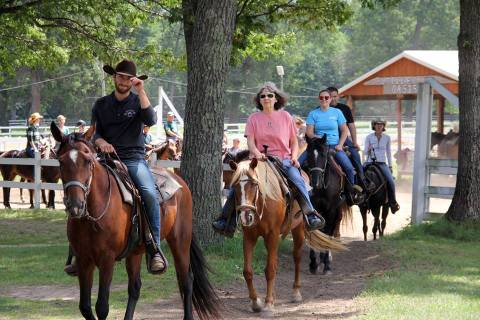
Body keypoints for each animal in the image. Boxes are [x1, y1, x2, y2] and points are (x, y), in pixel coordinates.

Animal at [50, 123, 219, 320]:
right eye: (61, 162)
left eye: (88, 161)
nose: (76, 205)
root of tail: (180, 182)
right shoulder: (84, 260)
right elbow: (85, 307)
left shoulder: (107, 259)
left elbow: (102, 307)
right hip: (135, 251)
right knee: (135, 287)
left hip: (180, 241)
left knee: (186, 280)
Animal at [228, 159, 344, 316]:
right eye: (235, 186)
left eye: (254, 184)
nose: (246, 216)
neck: (264, 201)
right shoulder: (249, 237)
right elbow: (247, 271)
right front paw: (256, 303)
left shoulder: (272, 235)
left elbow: (270, 270)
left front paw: (268, 305)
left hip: (298, 229)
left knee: (297, 258)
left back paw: (296, 293)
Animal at [304, 136, 352, 276]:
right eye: (308, 154)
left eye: (323, 155)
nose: (315, 183)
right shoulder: (313, 210)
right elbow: (314, 233)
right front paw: (313, 264)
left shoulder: (331, 210)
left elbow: (329, 232)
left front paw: (327, 265)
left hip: (337, 212)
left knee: (332, 231)